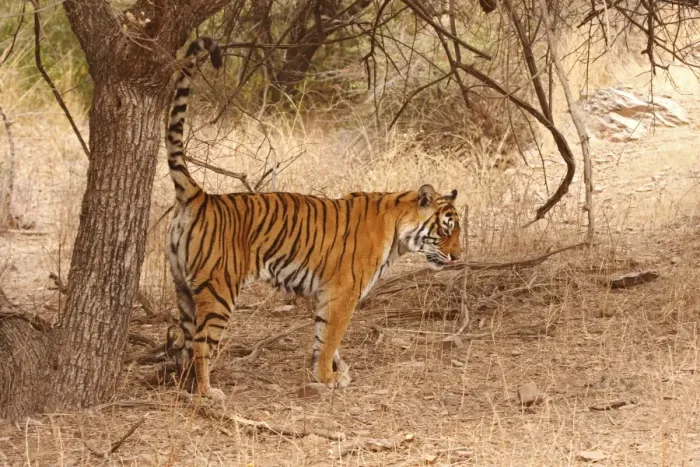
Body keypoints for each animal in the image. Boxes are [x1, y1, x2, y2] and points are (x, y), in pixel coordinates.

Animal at [165, 37, 462, 400]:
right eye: (446, 230)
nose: (458, 257)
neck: (397, 233)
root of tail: (200, 196)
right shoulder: (342, 292)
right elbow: (331, 336)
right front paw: (327, 377)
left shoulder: (323, 294)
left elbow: (324, 339)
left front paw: (334, 371)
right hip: (219, 289)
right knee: (201, 343)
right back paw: (208, 392)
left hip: (182, 288)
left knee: (185, 341)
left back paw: (185, 385)